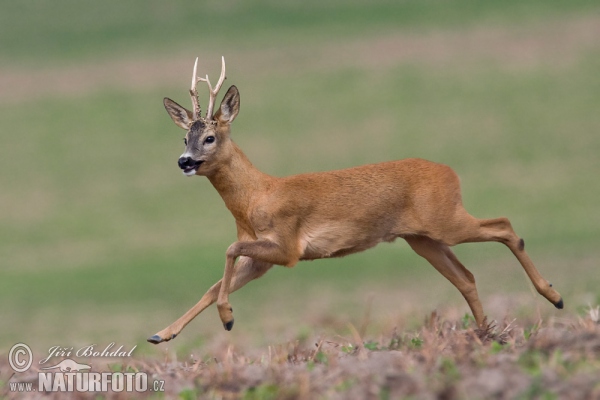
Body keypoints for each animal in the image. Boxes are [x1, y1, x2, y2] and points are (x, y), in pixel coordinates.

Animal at [146, 56, 564, 344]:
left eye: (210, 137)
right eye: (184, 137)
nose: (184, 161)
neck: (255, 198)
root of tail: (450, 172)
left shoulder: (288, 247)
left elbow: (229, 251)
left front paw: (228, 318)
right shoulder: (262, 259)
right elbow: (215, 283)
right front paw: (161, 334)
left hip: (446, 220)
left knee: (505, 226)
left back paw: (553, 296)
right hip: (423, 239)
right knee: (467, 276)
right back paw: (487, 335)